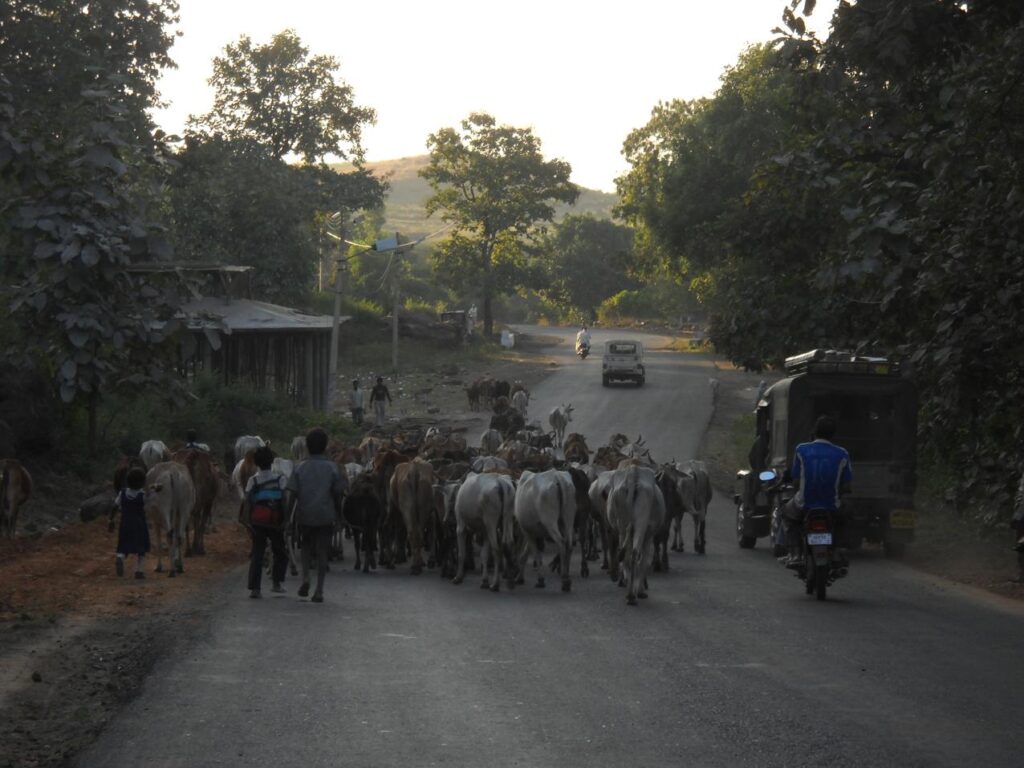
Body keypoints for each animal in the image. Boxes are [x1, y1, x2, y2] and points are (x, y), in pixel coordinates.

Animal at [602, 466, 667, 606]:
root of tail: (633, 474)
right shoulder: (649, 536)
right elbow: (645, 560)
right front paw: (641, 590)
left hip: (622, 525)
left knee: (626, 555)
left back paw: (629, 592)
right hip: (641, 524)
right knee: (636, 554)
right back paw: (633, 594)